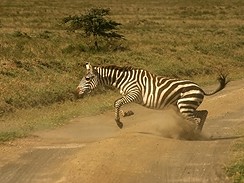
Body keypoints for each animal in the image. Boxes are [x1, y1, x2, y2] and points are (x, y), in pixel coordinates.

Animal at [76, 62, 229, 132]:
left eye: (87, 78)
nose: (77, 91)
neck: (122, 80)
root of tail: (200, 88)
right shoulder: (127, 94)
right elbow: (117, 103)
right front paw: (125, 114)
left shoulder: (134, 93)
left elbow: (117, 102)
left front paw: (119, 123)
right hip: (183, 107)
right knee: (204, 113)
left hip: (185, 106)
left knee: (196, 119)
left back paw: (195, 135)